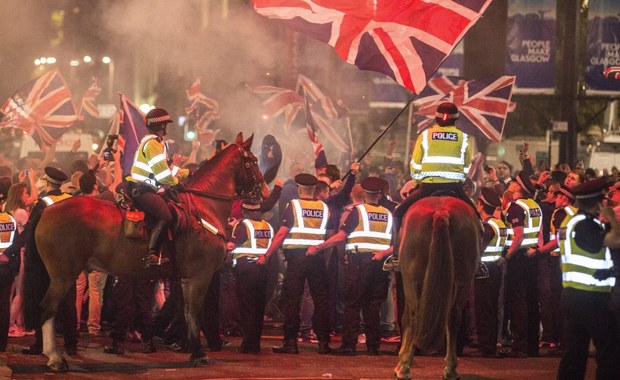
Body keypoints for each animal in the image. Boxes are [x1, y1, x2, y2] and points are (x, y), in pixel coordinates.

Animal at [27, 133, 268, 372]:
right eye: (253, 161)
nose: (264, 192)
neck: (203, 209)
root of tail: (47, 209)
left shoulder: (187, 279)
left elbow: (188, 313)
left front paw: (192, 349)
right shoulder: (200, 276)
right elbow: (195, 312)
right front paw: (198, 354)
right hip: (63, 275)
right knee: (47, 309)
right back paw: (55, 358)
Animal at [394, 196, 482, 380]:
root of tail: (441, 211)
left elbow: (406, 318)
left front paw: (402, 360)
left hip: (412, 277)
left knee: (414, 316)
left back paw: (404, 367)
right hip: (464, 279)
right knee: (453, 316)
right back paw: (451, 369)